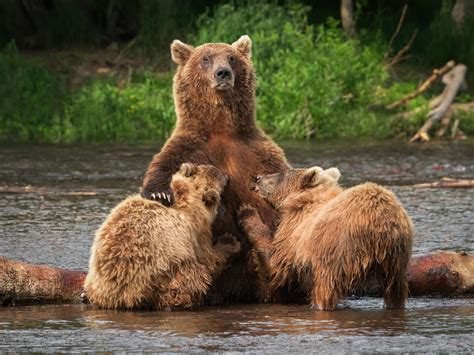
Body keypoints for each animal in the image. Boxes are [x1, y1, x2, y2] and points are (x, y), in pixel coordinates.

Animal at [141, 35, 288, 304]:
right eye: (206, 58)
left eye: (231, 58)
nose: (223, 73)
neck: (222, 129)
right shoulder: (190, 147)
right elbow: (163, 167)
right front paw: (159, 192)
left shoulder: (258, 153)